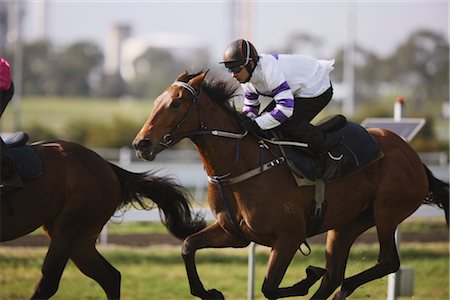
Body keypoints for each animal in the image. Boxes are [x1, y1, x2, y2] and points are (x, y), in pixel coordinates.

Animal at [132, 71, 448, 300]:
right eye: (156, 102)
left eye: (175, 104)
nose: (141, 143)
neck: (241, 164)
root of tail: (412, 155)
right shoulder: (233, 233)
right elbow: (188, 246)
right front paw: (210, 292)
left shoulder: (289, 237)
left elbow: (269, 287)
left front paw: (308, 276)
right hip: (348, 222)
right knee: (335, 274)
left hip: (387, 212)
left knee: (387, 262)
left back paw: (344, 288)